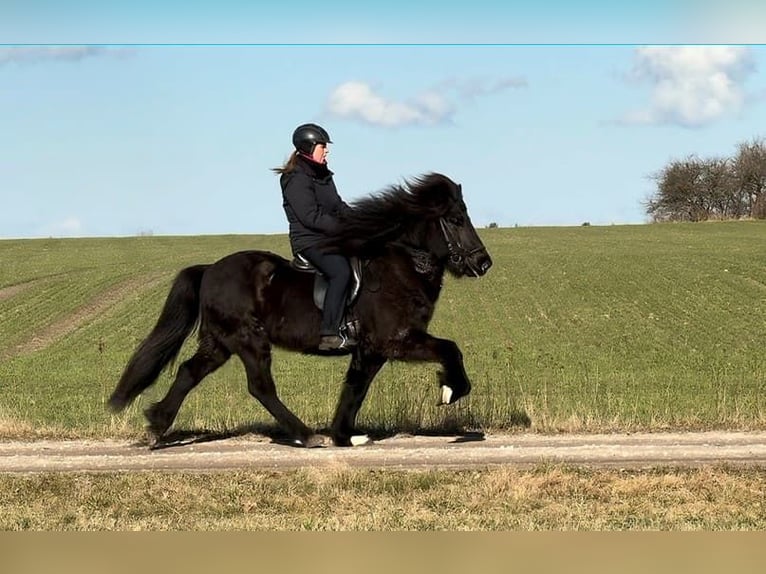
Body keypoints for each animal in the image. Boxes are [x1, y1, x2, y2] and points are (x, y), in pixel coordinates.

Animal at [109, 173, 492, 448]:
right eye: (456, 219)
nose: (483, 263)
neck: (401, 266)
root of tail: (210, 269)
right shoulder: (396, 340)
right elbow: (450, 349)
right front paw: (451, 389)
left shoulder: (370, 350)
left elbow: (356, 389)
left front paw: (345, 436)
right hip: (248, 339)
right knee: (260, 387)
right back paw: (306, 435)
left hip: (219, 342)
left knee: (189, 372)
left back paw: (157, 426)